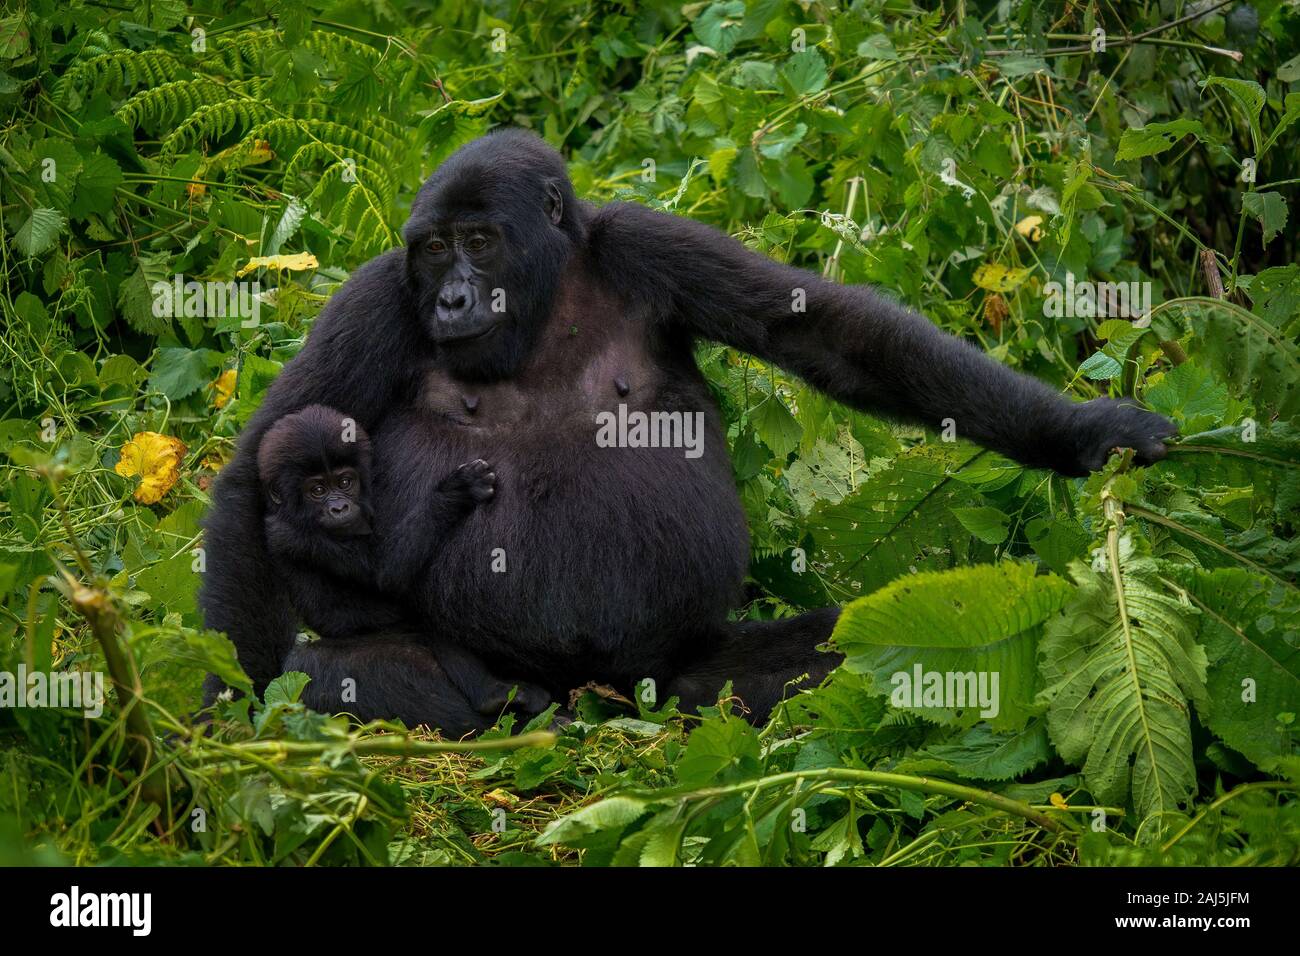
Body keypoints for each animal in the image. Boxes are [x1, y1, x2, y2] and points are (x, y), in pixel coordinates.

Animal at [258, 403, 548, 723]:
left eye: (345, 482)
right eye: (317, 490)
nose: (339, 507)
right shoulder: (300, 535)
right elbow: (386, 573)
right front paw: (455, 492)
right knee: (429, 631)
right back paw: (492, 695)